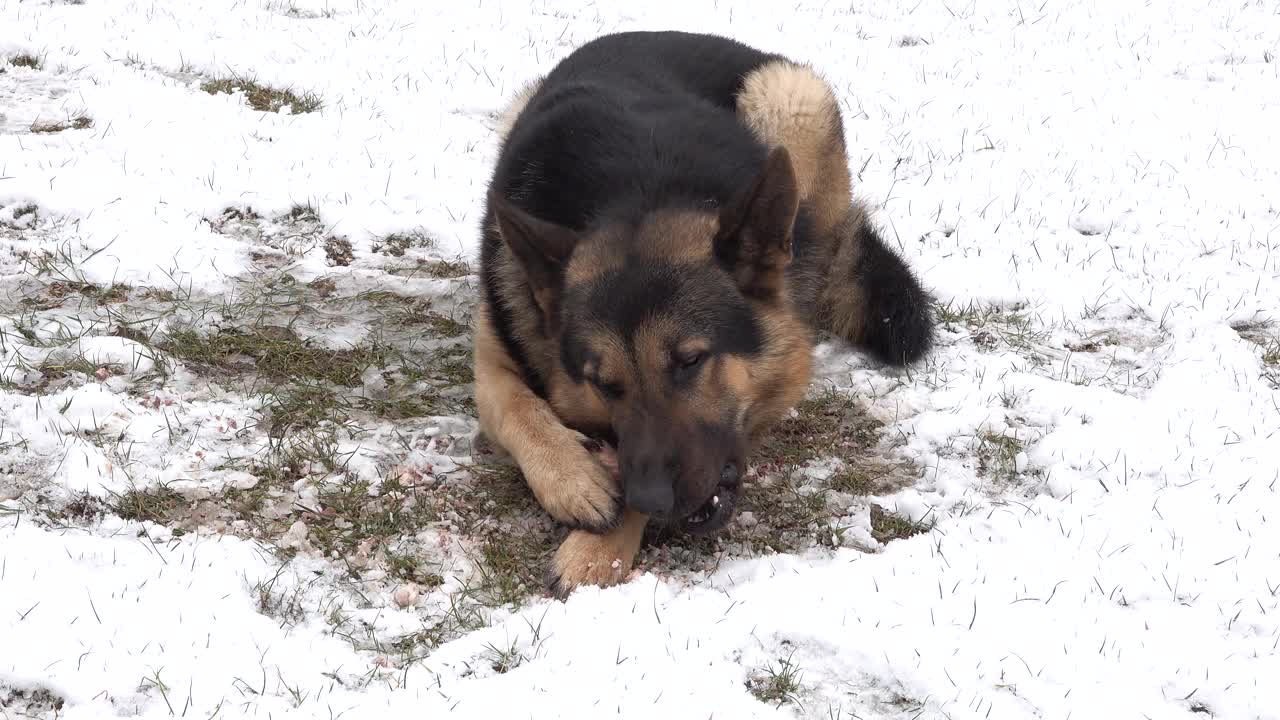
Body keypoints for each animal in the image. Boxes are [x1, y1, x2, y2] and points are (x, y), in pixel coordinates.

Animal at [471, 30, 931, 594]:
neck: (635, 192)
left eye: (690, 362)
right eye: (603, 384)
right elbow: (515, 407)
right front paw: (573, 479)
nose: (649, 499)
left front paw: (599, 548)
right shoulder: (493, 346)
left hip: (786, 97)